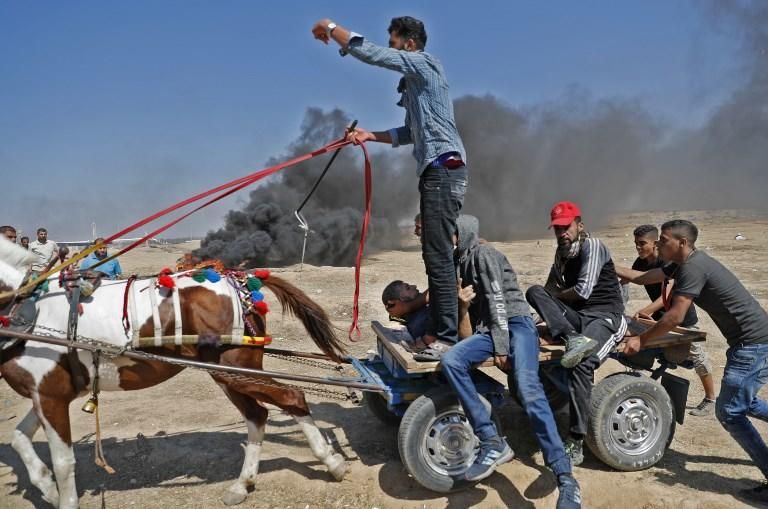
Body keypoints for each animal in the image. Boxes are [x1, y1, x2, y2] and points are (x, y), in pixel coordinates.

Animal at [0, 236, 348, 506]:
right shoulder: (46, 394)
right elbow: (19, 439)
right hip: (227, 374)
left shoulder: (51, 395)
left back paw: (332, 462)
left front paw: (60, 494)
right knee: (258, 415)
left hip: (236, 368)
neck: (27, 307)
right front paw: (46, 488)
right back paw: (243, 484)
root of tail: (238, 278)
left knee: (292, 395)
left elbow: (62, 462)